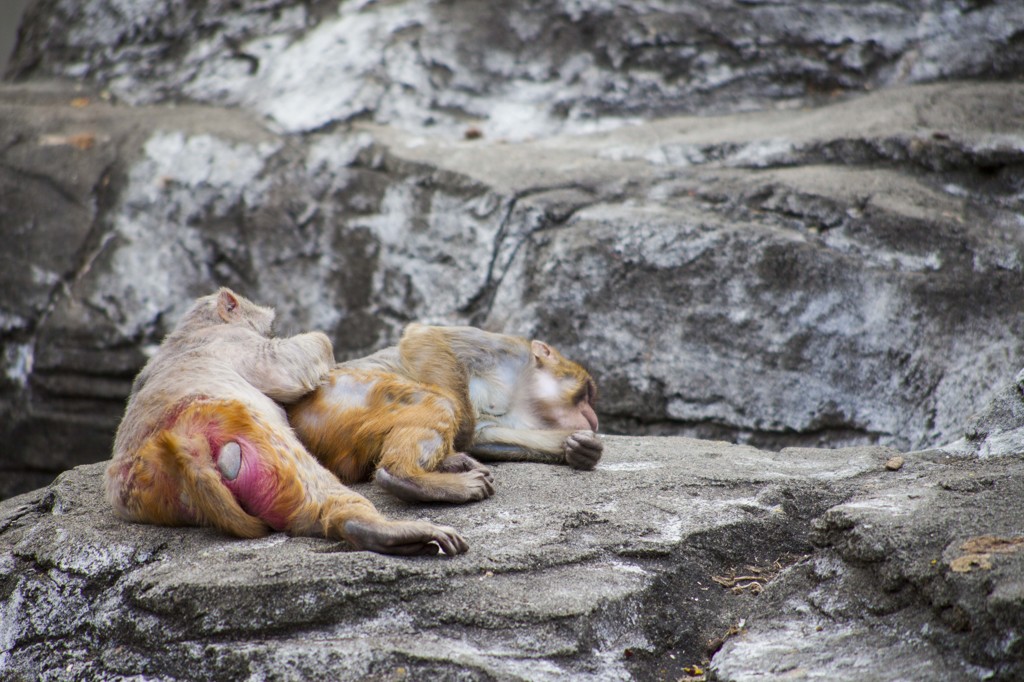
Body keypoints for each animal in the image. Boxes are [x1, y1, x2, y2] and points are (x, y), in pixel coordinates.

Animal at [104, 288, 468, 557]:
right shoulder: (234, 342)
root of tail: (178, 449)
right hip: (256, 440)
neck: (191, 330)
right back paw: (376, 528)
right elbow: (283, 367)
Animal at [286, 323, 598, 503]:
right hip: (346, 395)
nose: (593, 417)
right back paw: (408, 477)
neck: (521, 391)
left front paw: (579, 447)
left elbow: (487, 436)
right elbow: (426, 338)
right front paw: (460, 438)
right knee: (440, 403)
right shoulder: (505, 350)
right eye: (586, 394)